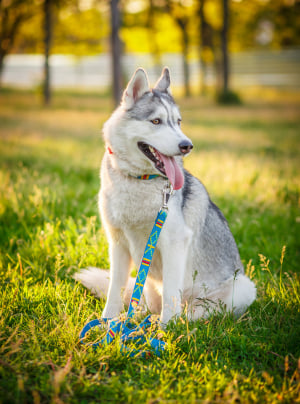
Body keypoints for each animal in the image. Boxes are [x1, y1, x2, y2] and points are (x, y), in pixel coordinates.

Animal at [75, 68, 255, 324]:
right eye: (156, 121)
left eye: (178, 122)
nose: (187, 145)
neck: (139, 180)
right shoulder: (118, 244)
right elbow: (115, 290)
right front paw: (107, 323)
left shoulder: (174, 243)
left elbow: (171, 292)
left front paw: (166, 328)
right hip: (148, 286)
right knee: (142, 303)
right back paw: (135, 319)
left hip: (240, 289)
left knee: (191, 310)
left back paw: (167, 321)